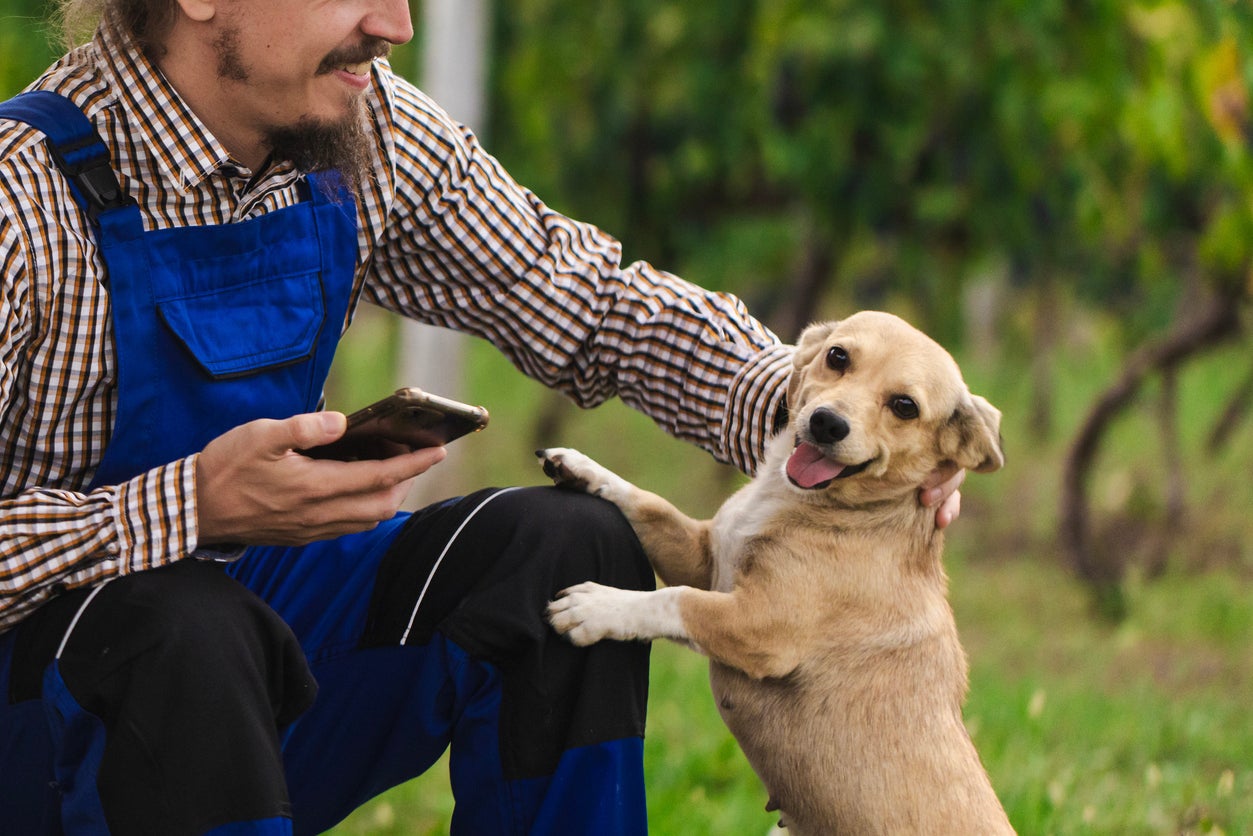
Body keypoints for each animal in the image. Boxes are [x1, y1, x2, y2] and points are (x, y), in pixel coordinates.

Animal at [543, 310, 1012, 832]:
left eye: (905, 406)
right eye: (838, 356)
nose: (827, 422)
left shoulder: (761, 626)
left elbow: (674, 600)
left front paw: (596, 607)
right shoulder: (707, 557)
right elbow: (648, 505)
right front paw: (584, 469)